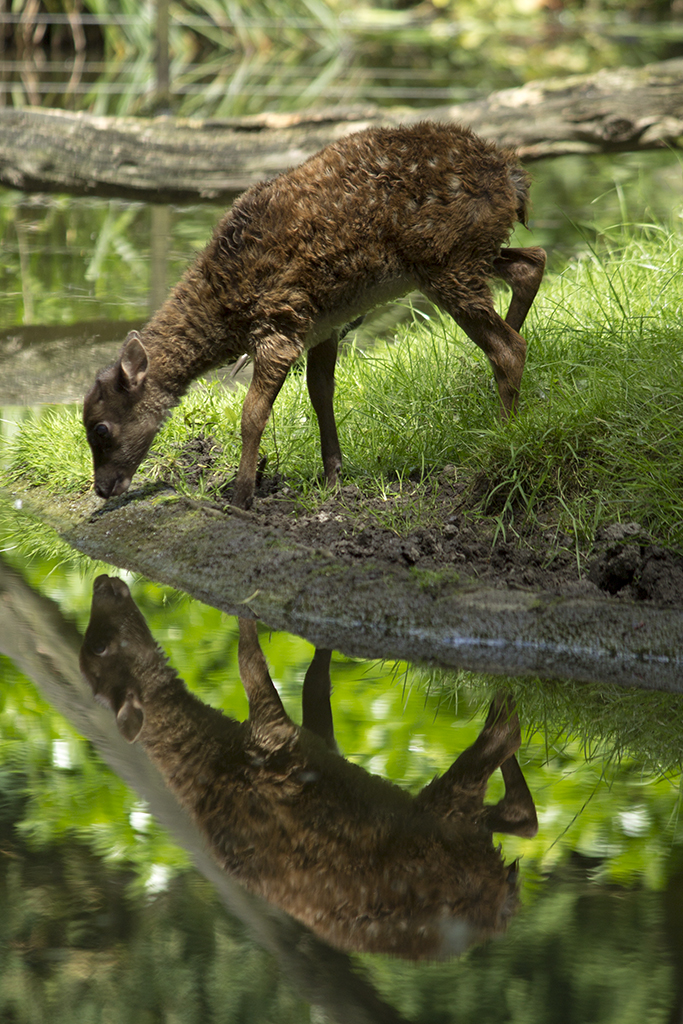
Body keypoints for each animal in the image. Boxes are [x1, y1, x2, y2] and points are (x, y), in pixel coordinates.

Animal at [80, 573, 538, 960]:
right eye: (99, 646)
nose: (102, 580)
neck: (212, 750)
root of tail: (500, 910)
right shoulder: (275, 731)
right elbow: (250, 661)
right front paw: (249, 609)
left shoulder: (315, 740)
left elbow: (313, 681)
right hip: (449, 817)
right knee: (507, 746)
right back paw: (504, 700)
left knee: (523, 817)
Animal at [83, 120, 546, 509]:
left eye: (100, 428)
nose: (102, 488)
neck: (225, 312)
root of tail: (514, 177)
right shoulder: (323, 325)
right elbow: (321, 392)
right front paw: (332, 477)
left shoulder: (278, 326)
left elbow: (252, 416)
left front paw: (241, 497)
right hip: (467, 256)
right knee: (533, 261)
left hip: (446, 260)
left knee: (509, 346)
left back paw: (501, 438)